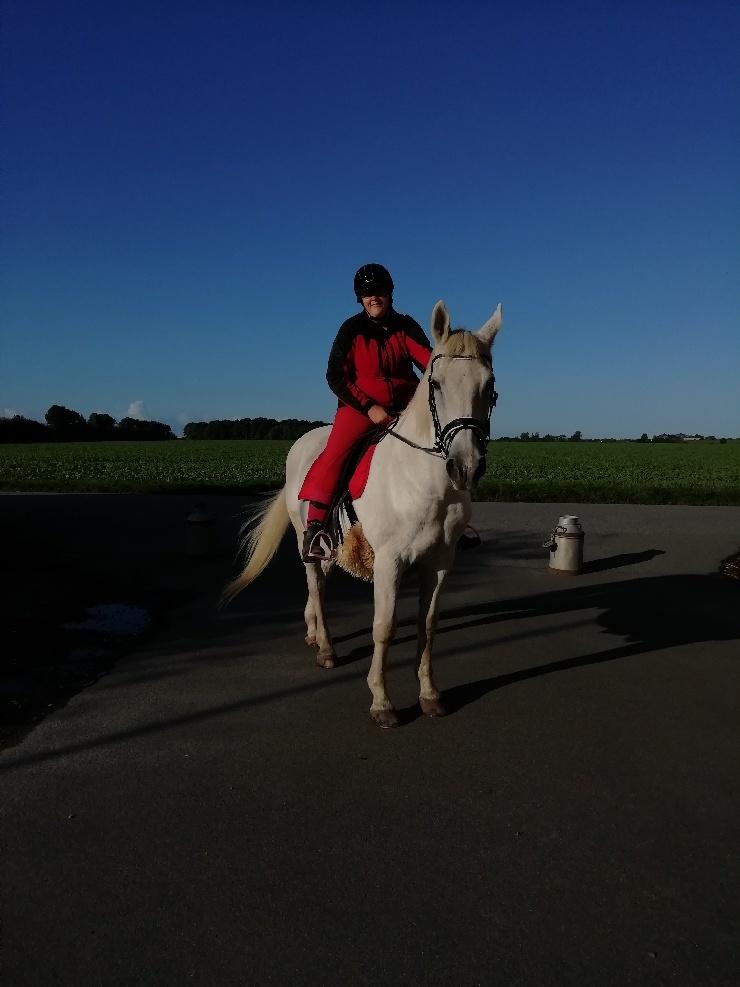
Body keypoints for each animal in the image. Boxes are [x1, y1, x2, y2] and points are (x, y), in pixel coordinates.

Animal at [224, 302, 502, 724]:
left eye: (489, 386)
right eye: (435, 384)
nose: (465, 467)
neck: (423, 481)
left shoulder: (440, 561)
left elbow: (428, 625)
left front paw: (429, 694)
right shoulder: (390, 561)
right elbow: (384, 628)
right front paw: (382, 702)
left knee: (321, 582)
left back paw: (312, 632)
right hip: (306, 539)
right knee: (316, 585)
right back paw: (325, 647)